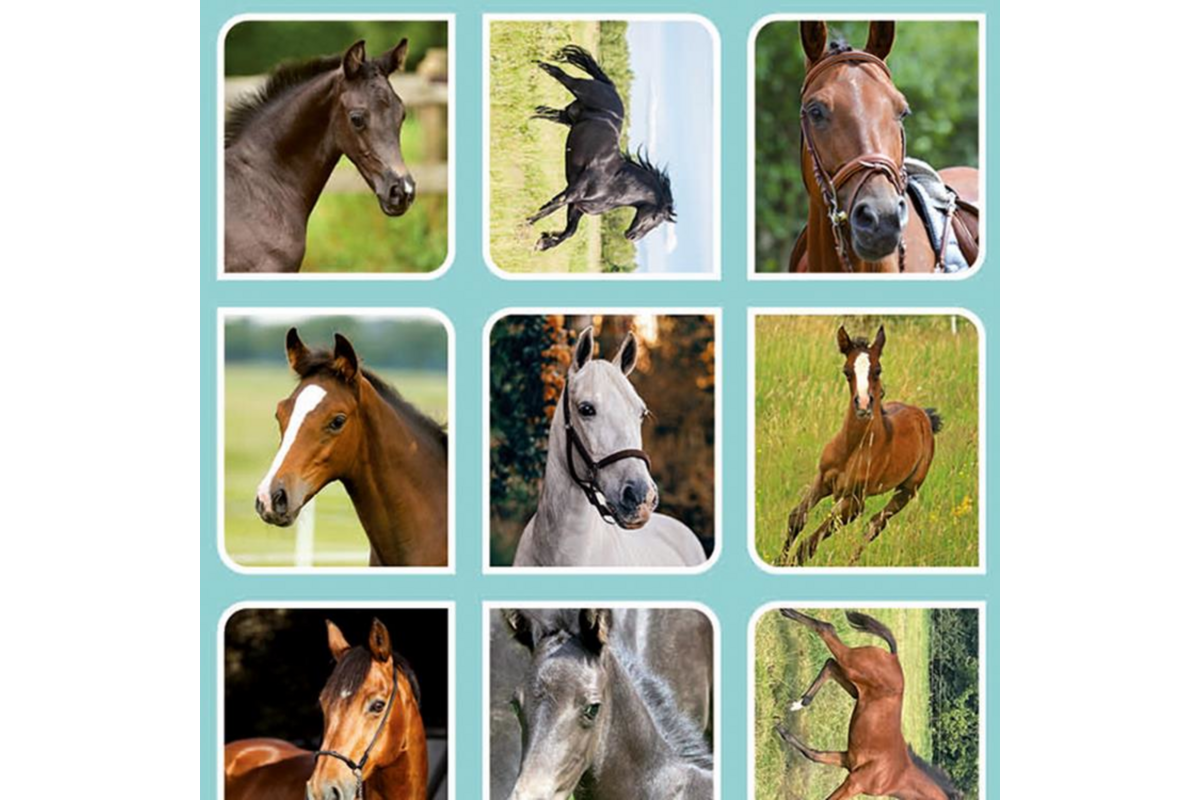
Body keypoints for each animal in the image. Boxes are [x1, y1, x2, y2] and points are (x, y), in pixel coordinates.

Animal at [526, 45, 676, 252]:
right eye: (655, 218)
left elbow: (569, 232)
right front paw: (524, 226)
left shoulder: (577, 206)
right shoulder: (572, 194)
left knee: (543, 111)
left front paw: (544, 242)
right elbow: (550, 207)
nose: (632, 236)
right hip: (577, 88)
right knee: (555, 71)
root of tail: (610, 87)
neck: (614, 184)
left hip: (568, 116)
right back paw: (532, 65)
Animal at [774, 609, 963, 800]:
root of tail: (893, 657)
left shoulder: (847, 759)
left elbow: (813, 754)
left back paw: (799, 703)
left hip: (854, 685)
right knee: (828, 629)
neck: (897, 776)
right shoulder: (854, 783)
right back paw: (786, 611)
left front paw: (782, 730)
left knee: (831, 664)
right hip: (851, 664)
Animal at [778, 325, 940, 566]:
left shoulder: (855, 501)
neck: (852, 448)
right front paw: (777, 561)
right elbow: (797, 518)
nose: (863, 405)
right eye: (847, 371)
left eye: (878, 370)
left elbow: (809, 544)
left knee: (875, 524)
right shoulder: (822, 479)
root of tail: (924, 416)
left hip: (908, 490)